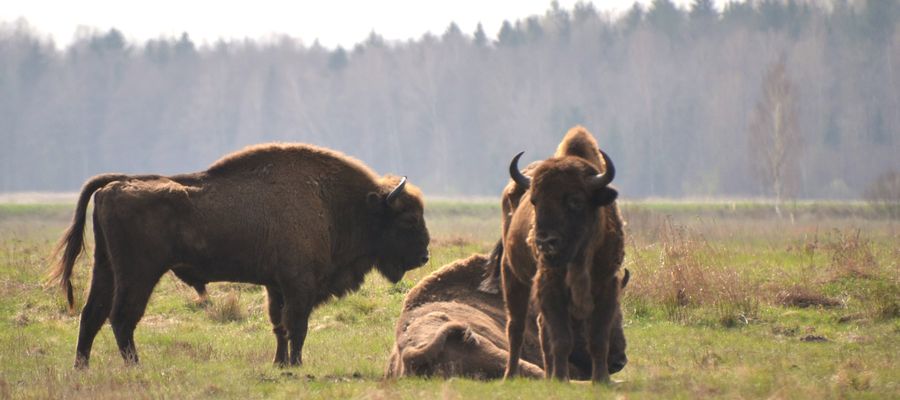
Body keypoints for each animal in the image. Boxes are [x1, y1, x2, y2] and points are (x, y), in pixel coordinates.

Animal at [47, 143, 430, 368]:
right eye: (409, 219)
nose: (425, 255)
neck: (338, 203)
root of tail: (114, 185)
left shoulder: (276, 287)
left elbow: (279, 326)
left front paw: (280, 365)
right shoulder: (299, 285)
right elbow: (297, 326)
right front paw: (296, 365)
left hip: (106, 267)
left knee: (92, 314)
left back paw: (81, 367)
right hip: (139, 273)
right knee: (122, 317)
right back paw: (135, 366)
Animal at [502, 126, 624, 382]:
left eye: (575, 201)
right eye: (535, 201)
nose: (544, 242)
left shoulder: (607, 286)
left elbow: (598, 339)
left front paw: (601, 380)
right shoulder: (551, 286)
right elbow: (561, 339)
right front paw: (562, 379)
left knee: (540, 326)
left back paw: (548, 375)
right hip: (512, 275)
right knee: (516, 327)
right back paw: (511, 375)